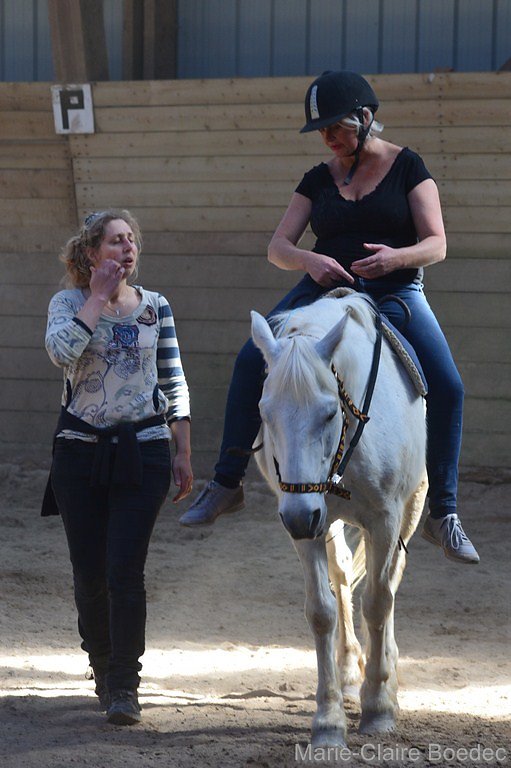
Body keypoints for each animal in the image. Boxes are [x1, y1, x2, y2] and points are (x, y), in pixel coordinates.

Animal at [250, 289, 428, 749]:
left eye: (330, 413)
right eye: (265, 412)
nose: (299, 517)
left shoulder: (385, 518)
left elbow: (379, 601)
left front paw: (379, 707)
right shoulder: (306, 518)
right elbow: (321, 611)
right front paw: (328, 721)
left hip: (409, 507)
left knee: (391, 579)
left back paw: (387, 675)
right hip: (321, 518)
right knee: (345, 575)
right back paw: (350, 672)